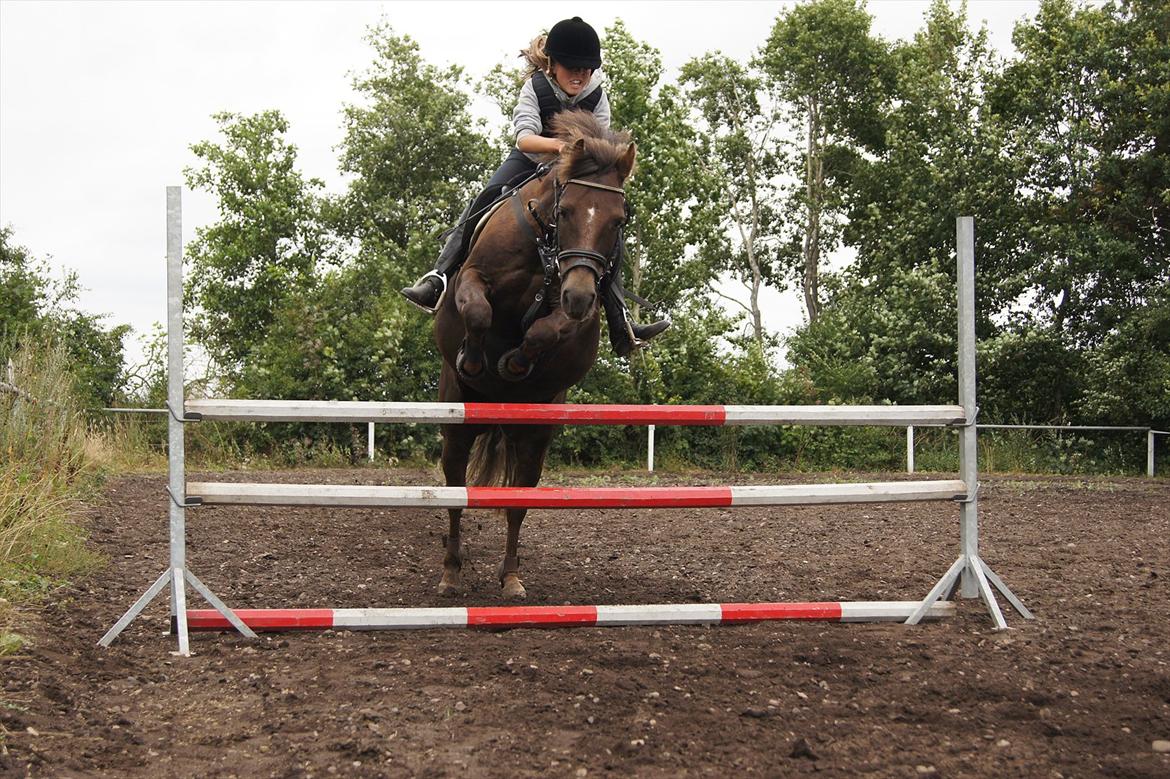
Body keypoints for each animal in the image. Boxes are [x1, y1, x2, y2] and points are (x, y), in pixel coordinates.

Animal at [430, 110, 636, 594]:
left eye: (618, 221)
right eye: (565, 210)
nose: (578, 294)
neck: (545, 247)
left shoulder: (576, 312)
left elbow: (548, 329)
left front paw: (515, 361)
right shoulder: (474, 277)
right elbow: (479, 310)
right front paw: (476, 359)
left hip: (534, 435)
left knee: (518, 501)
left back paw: (511, 578)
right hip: (457, 419)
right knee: (455, 490)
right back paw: (450, 573)